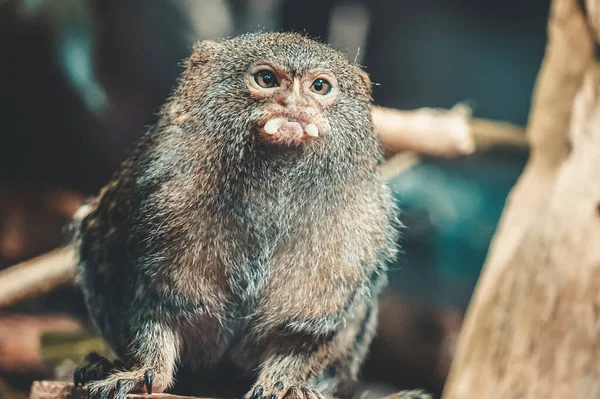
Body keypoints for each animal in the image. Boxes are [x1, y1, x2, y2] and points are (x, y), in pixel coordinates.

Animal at [72, 32, 406, 399]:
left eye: (320, 86)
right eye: (267, 79)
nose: (294, 105)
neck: (272, 187)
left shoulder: (363, 227)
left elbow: (305, 337)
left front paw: (285, 383)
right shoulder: (158, 191)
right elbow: (154, 309)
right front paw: (148, 369)